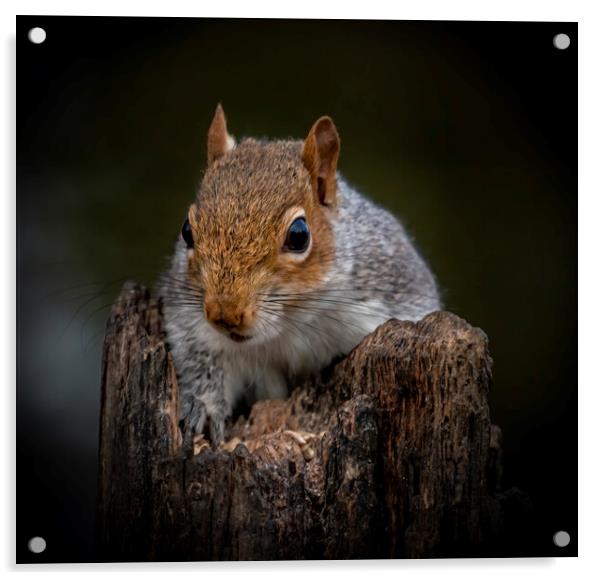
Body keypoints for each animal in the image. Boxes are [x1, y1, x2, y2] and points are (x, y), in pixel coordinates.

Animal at [157, 105, 438, 448]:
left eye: (299, 235)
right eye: (187, 231)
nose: (225, 314)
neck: (290, 324)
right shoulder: (194, 329)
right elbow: (202, 368)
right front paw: (202, 408)